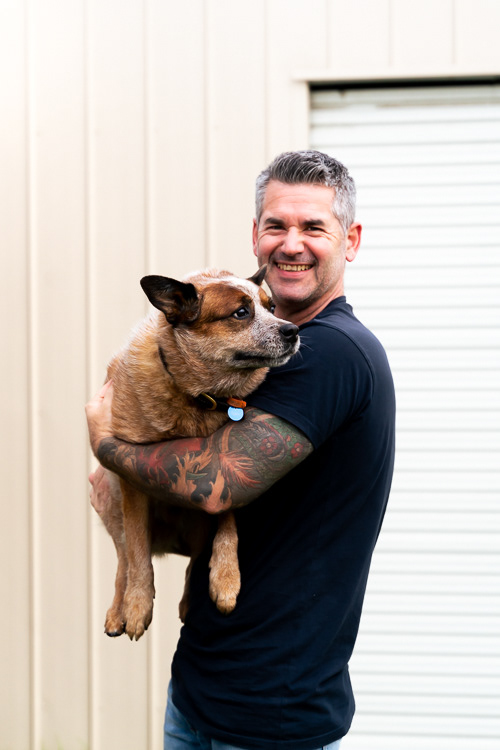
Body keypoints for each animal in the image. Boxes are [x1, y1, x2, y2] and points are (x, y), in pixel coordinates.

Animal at [97, 266, 300, 640]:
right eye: (241, 312)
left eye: (272, 307)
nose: (293, 330)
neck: (198, 396)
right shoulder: (129, 473)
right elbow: (137, 551)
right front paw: (137, 605)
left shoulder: (228, 465)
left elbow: (228, 521)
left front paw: (226, 578)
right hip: (111, 498)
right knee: (123, 557)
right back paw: (118, 609)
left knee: (192, 560)